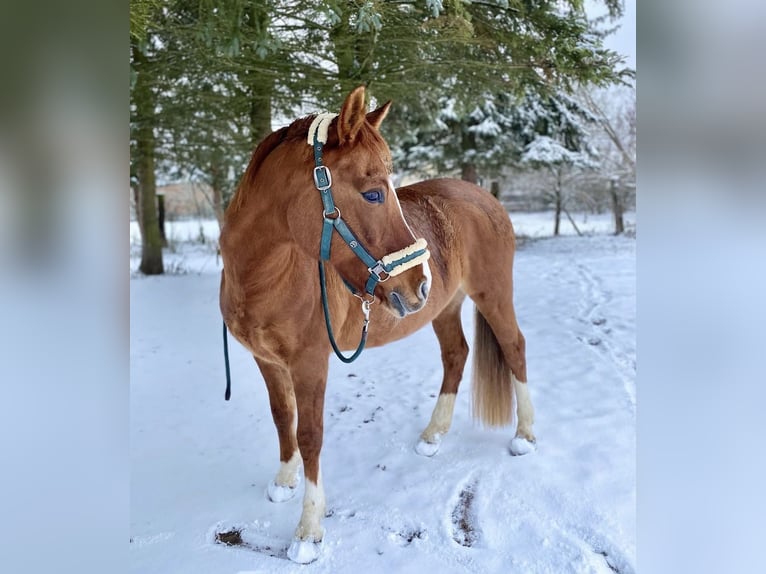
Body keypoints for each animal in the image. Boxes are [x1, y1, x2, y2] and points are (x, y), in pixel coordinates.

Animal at [219, 86, 536, 564]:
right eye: (372, 194)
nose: (419, 281)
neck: (267, 276)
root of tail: (485, 197)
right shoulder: (268, 361)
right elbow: (282, 417)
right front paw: (284, 482)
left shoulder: (311, 363)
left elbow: (310, 434)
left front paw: (308, 532)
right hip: (444, 308)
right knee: (456, 355)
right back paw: (432, 437)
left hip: (493, 295)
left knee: (514, 348)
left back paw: (525, 436)